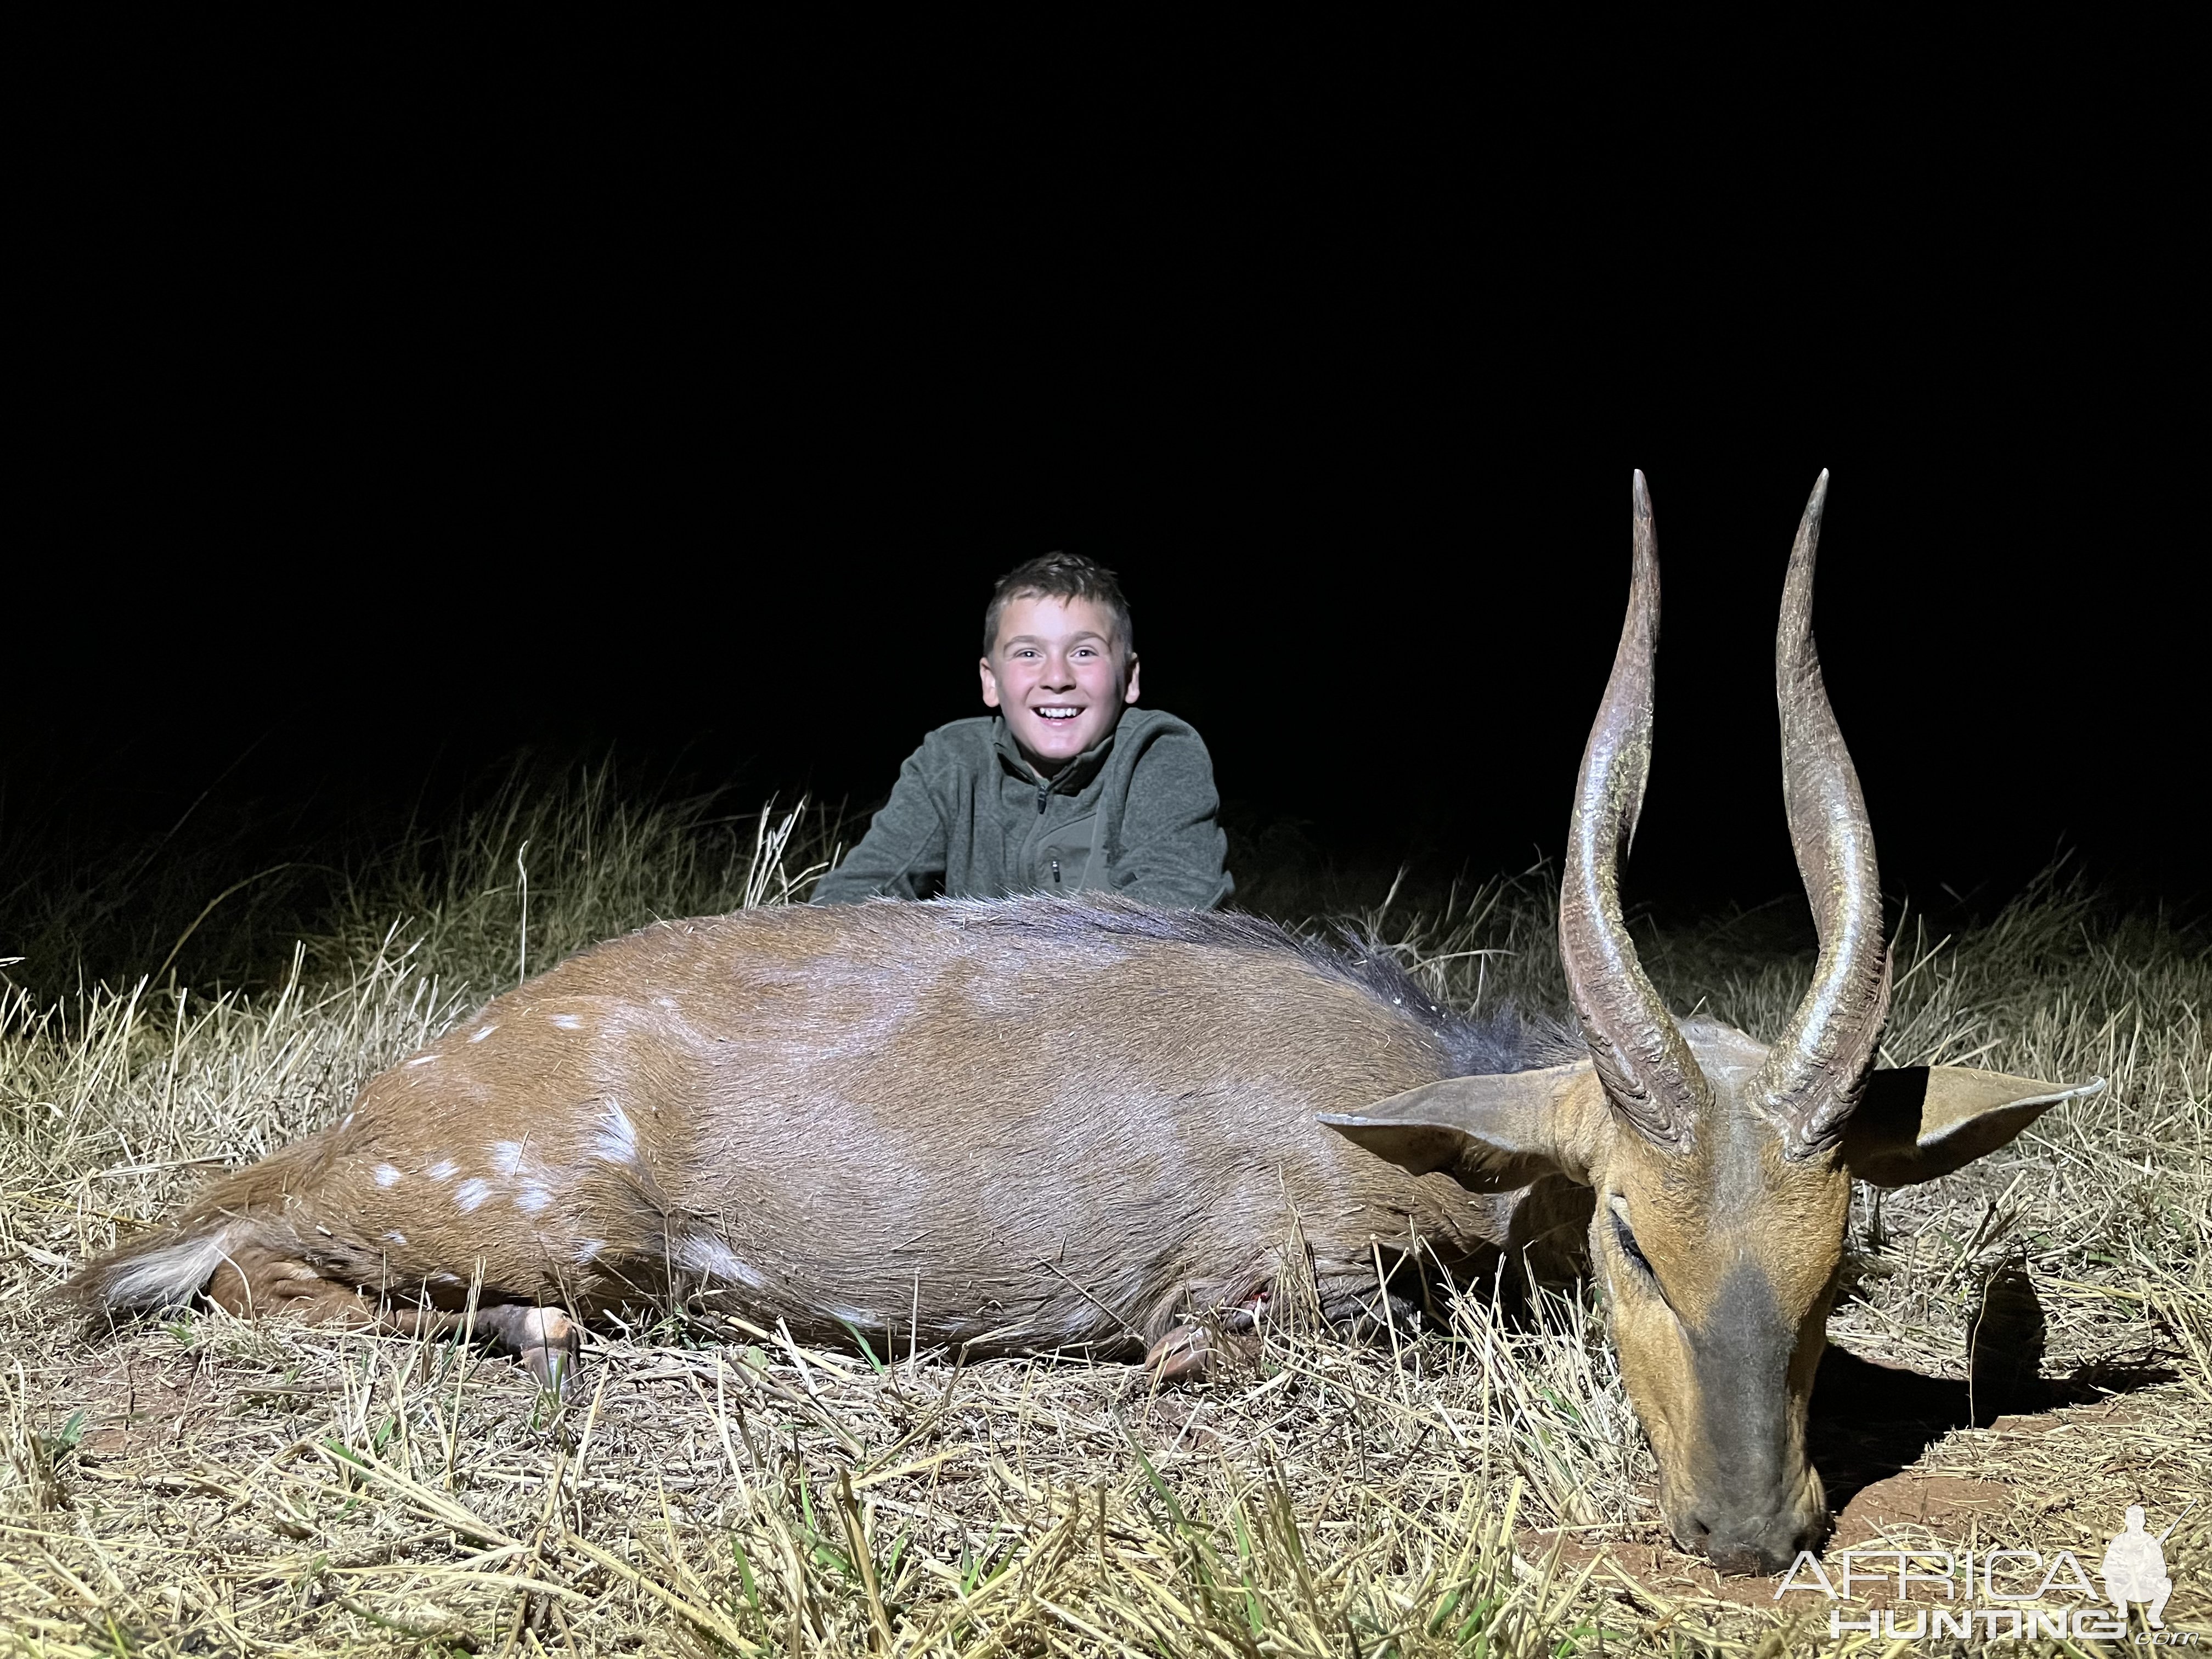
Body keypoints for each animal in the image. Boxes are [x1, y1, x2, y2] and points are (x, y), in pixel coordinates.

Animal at [78, 473, 2097, 1575]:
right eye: (1634, 1244)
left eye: (1842, 1258)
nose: (1752, 1530)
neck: (1409, 1109)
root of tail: (355, 1116)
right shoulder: (1250, 1296)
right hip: (541, 1222)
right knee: (268, 1278)